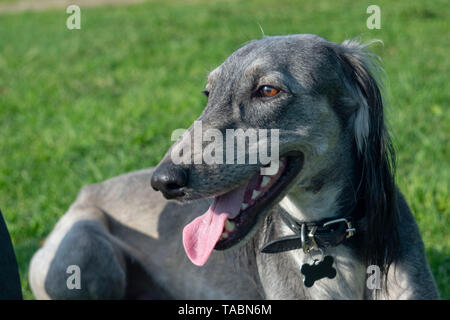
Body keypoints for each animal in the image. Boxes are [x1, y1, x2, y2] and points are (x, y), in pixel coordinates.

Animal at [29, 33, 440, 298]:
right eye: (208, 93)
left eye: (267, 91)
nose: (163, 181)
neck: (326, 239)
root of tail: (86, 191)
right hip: (86, 248)